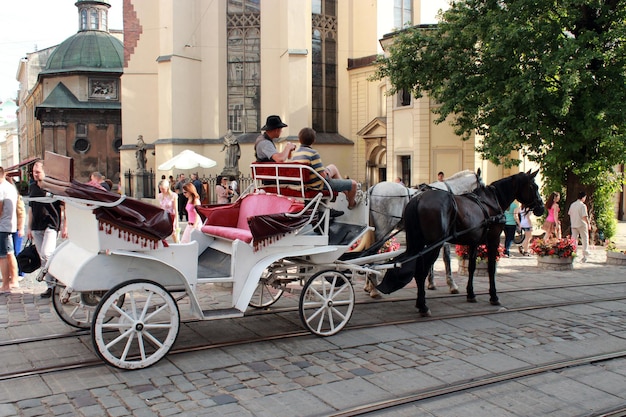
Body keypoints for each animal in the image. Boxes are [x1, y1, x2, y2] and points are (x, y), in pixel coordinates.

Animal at [376, 170, 540, 316]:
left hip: (418, 243)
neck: (490, 202)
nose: (541, 207)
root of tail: (417, 199)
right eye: (534, 186)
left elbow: (472, 267)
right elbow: (491, 268)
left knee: (418, 270)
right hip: (430, 244)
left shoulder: (474, 242)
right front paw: (493, 296)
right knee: (421, 271)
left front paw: (471, 293)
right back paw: (422, 305)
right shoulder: (493, 240)